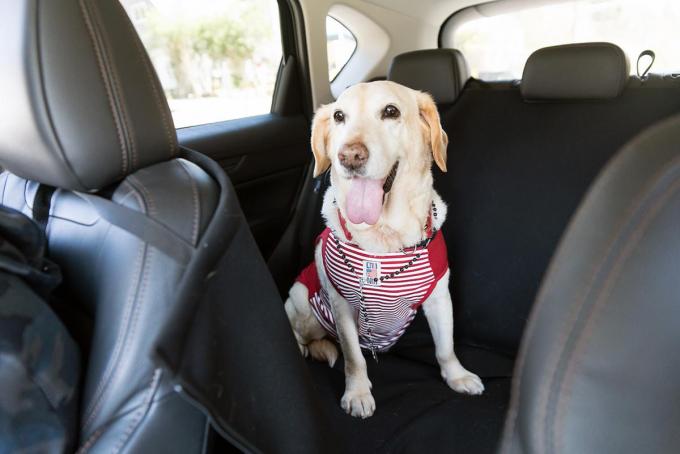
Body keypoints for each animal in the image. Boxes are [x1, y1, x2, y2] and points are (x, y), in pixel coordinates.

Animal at [284, 80, 480, 418]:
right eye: (339, 116)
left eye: (391, 111)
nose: (349, 155)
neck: (383, 238)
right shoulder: (341, 304)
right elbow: (353, 358)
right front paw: (358, 393)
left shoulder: (440, 298)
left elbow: (445, 347)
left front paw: (457, 376)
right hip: (300, 297)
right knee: (299, 334)